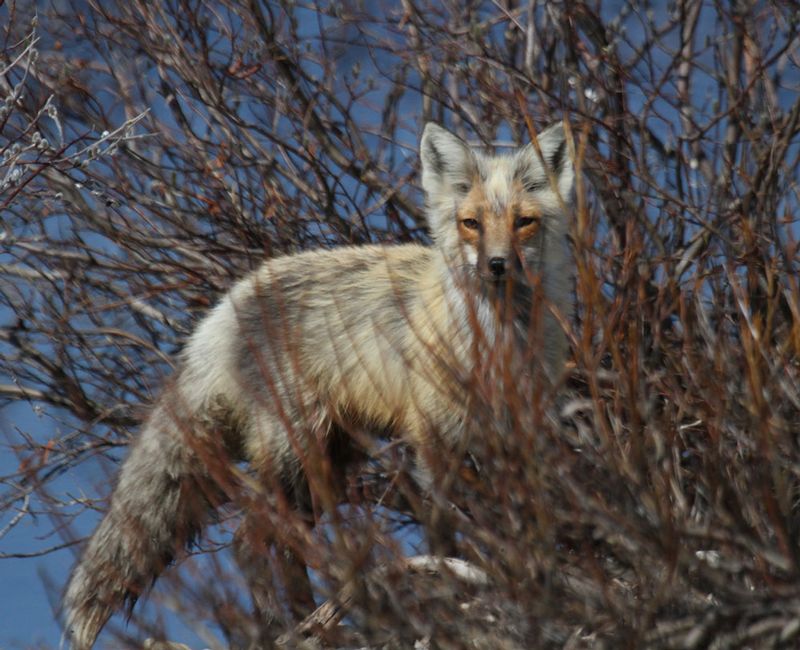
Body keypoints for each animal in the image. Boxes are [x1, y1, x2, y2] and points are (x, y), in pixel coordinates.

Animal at [63, 120, 574, 648]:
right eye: (471, 223)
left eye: (523, 222)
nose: (497, 264)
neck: (498, 345)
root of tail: (225, 307)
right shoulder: (435, 437)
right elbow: (447, 531)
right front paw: (455, 592)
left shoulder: (521, 435)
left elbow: (526, 524)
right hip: (297, 452)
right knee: (249, 542)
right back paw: (283, 628)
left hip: (328, 463)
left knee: (279, 543)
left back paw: (304, 620)